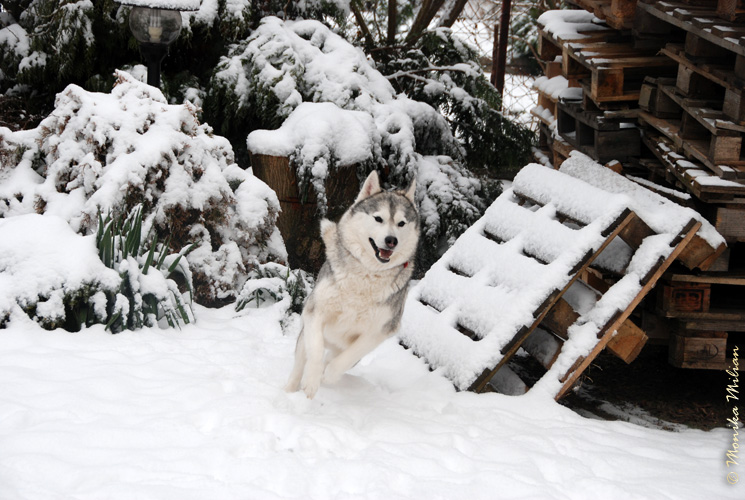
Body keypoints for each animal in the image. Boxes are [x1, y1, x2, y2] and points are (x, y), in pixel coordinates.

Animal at [284, 171, 419, 399]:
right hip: (304, 337)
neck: (367, 274)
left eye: (401, 223)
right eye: (378, 218)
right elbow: (316, 351)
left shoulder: (380, 331)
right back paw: (290, 390)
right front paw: (311, 382)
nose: (391, 240)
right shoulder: (315, 311)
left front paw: (328, 375)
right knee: (300, 362)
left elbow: (347, 358)